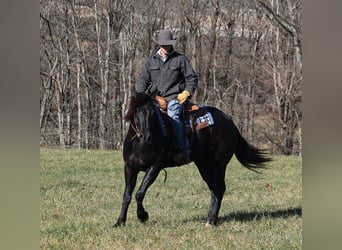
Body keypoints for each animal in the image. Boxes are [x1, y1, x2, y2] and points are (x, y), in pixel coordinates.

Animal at [113, 93, 272, 228]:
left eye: (152, 113)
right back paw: (210, 219)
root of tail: (230, 122)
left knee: (220, 187)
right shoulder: (129, 168)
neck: (140, 145)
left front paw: (143, 216)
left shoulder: (155, 167)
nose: (146, 136)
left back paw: (211, 221)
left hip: (219, 163)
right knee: (214, 188)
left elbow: (139, 193)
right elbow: (127, 195)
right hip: (203, 163)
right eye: (136, 112)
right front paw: (120, 222)